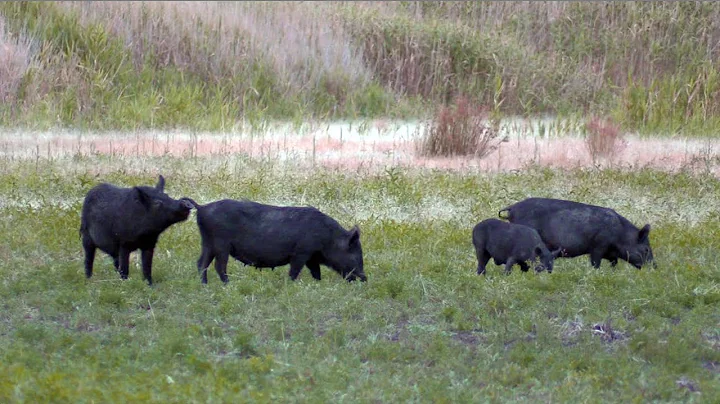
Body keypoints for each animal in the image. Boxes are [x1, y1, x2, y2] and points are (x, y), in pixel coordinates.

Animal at [180, 198, 366, 284]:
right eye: (355, 254)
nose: (365, 278)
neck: (328, 238)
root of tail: (202, 207)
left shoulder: (311, 257)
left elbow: (316, 272)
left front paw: (317, 284)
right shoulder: (301, 252)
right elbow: (294, 271)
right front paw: (291, 284)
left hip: (207, 243)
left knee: (201, 263)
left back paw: (204, 284)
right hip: (221, 244)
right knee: (219, 266)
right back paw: (228, 284)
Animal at [498, 197, 655, 269]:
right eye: (646, 249)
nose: (655, 267)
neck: (621, 235)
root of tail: (512, 209)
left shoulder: (611, 254)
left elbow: (614, 262)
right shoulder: (598, 246)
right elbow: (595, 262)